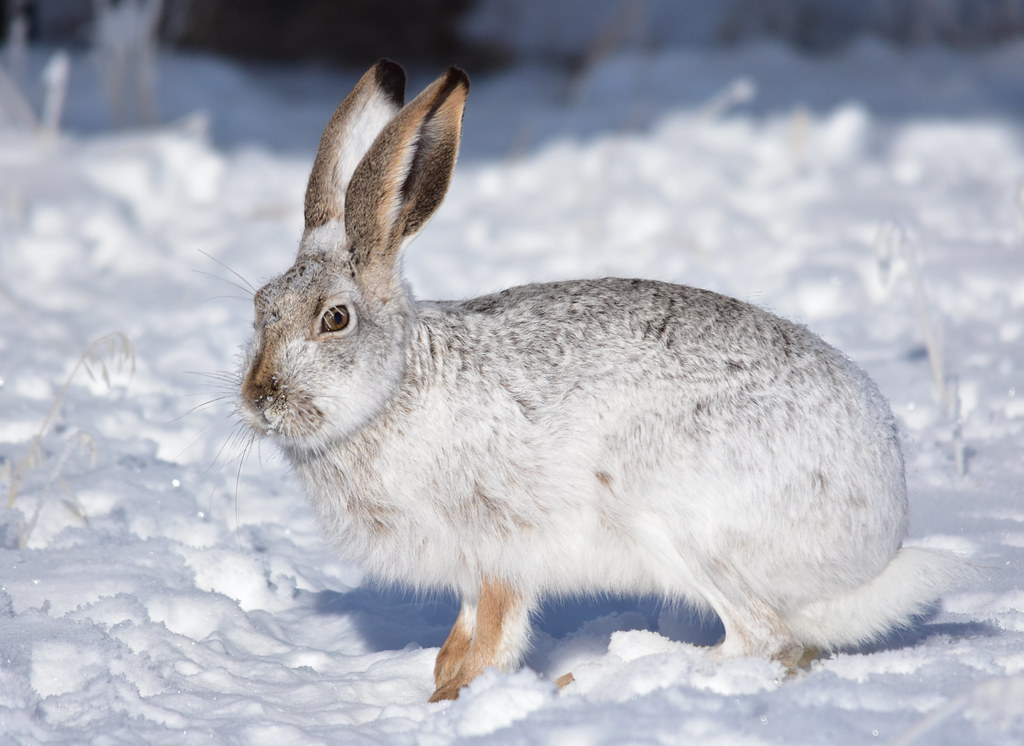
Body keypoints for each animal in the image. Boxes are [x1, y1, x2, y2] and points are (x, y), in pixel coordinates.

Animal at [237, 59, 965, 703]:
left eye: (334, 319)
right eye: (259, 307)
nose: (259, 399)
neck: (391, 393)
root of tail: (879, 537)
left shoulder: (500, 546)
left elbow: (494, 637)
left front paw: (455, 701)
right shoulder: (467, 568)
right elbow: (460, 634)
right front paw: (440, 684)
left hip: (675, 514)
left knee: (763, 639)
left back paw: (601, 677)